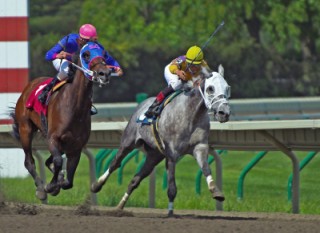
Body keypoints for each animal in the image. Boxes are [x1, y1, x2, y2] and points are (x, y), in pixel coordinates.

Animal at [10, 41, 112, 200]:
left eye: (105, 54)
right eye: (86, 55)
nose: (104, 73)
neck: (74, 107)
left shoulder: (76, 146)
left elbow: (68, 181)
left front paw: (58, 182)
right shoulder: (53, 138)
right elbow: (58, 161)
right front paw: (50, 185)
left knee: (48, 161)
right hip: (25, 129)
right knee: (29, 161)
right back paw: (40, 188)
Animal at [92, 64, 230, 216]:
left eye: (227, 88)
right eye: (210, 88)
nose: (224, 113)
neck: (191, 115)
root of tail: (142, 104)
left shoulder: (199, 147)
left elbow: (206, 168)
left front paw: (216, 192)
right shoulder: (172, 153)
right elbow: (172, 187)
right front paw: (170, 212)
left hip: (154, 155)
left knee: (135, 180)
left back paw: (120, 206)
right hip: (128, 142)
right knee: (115, 164)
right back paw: (96, 185)